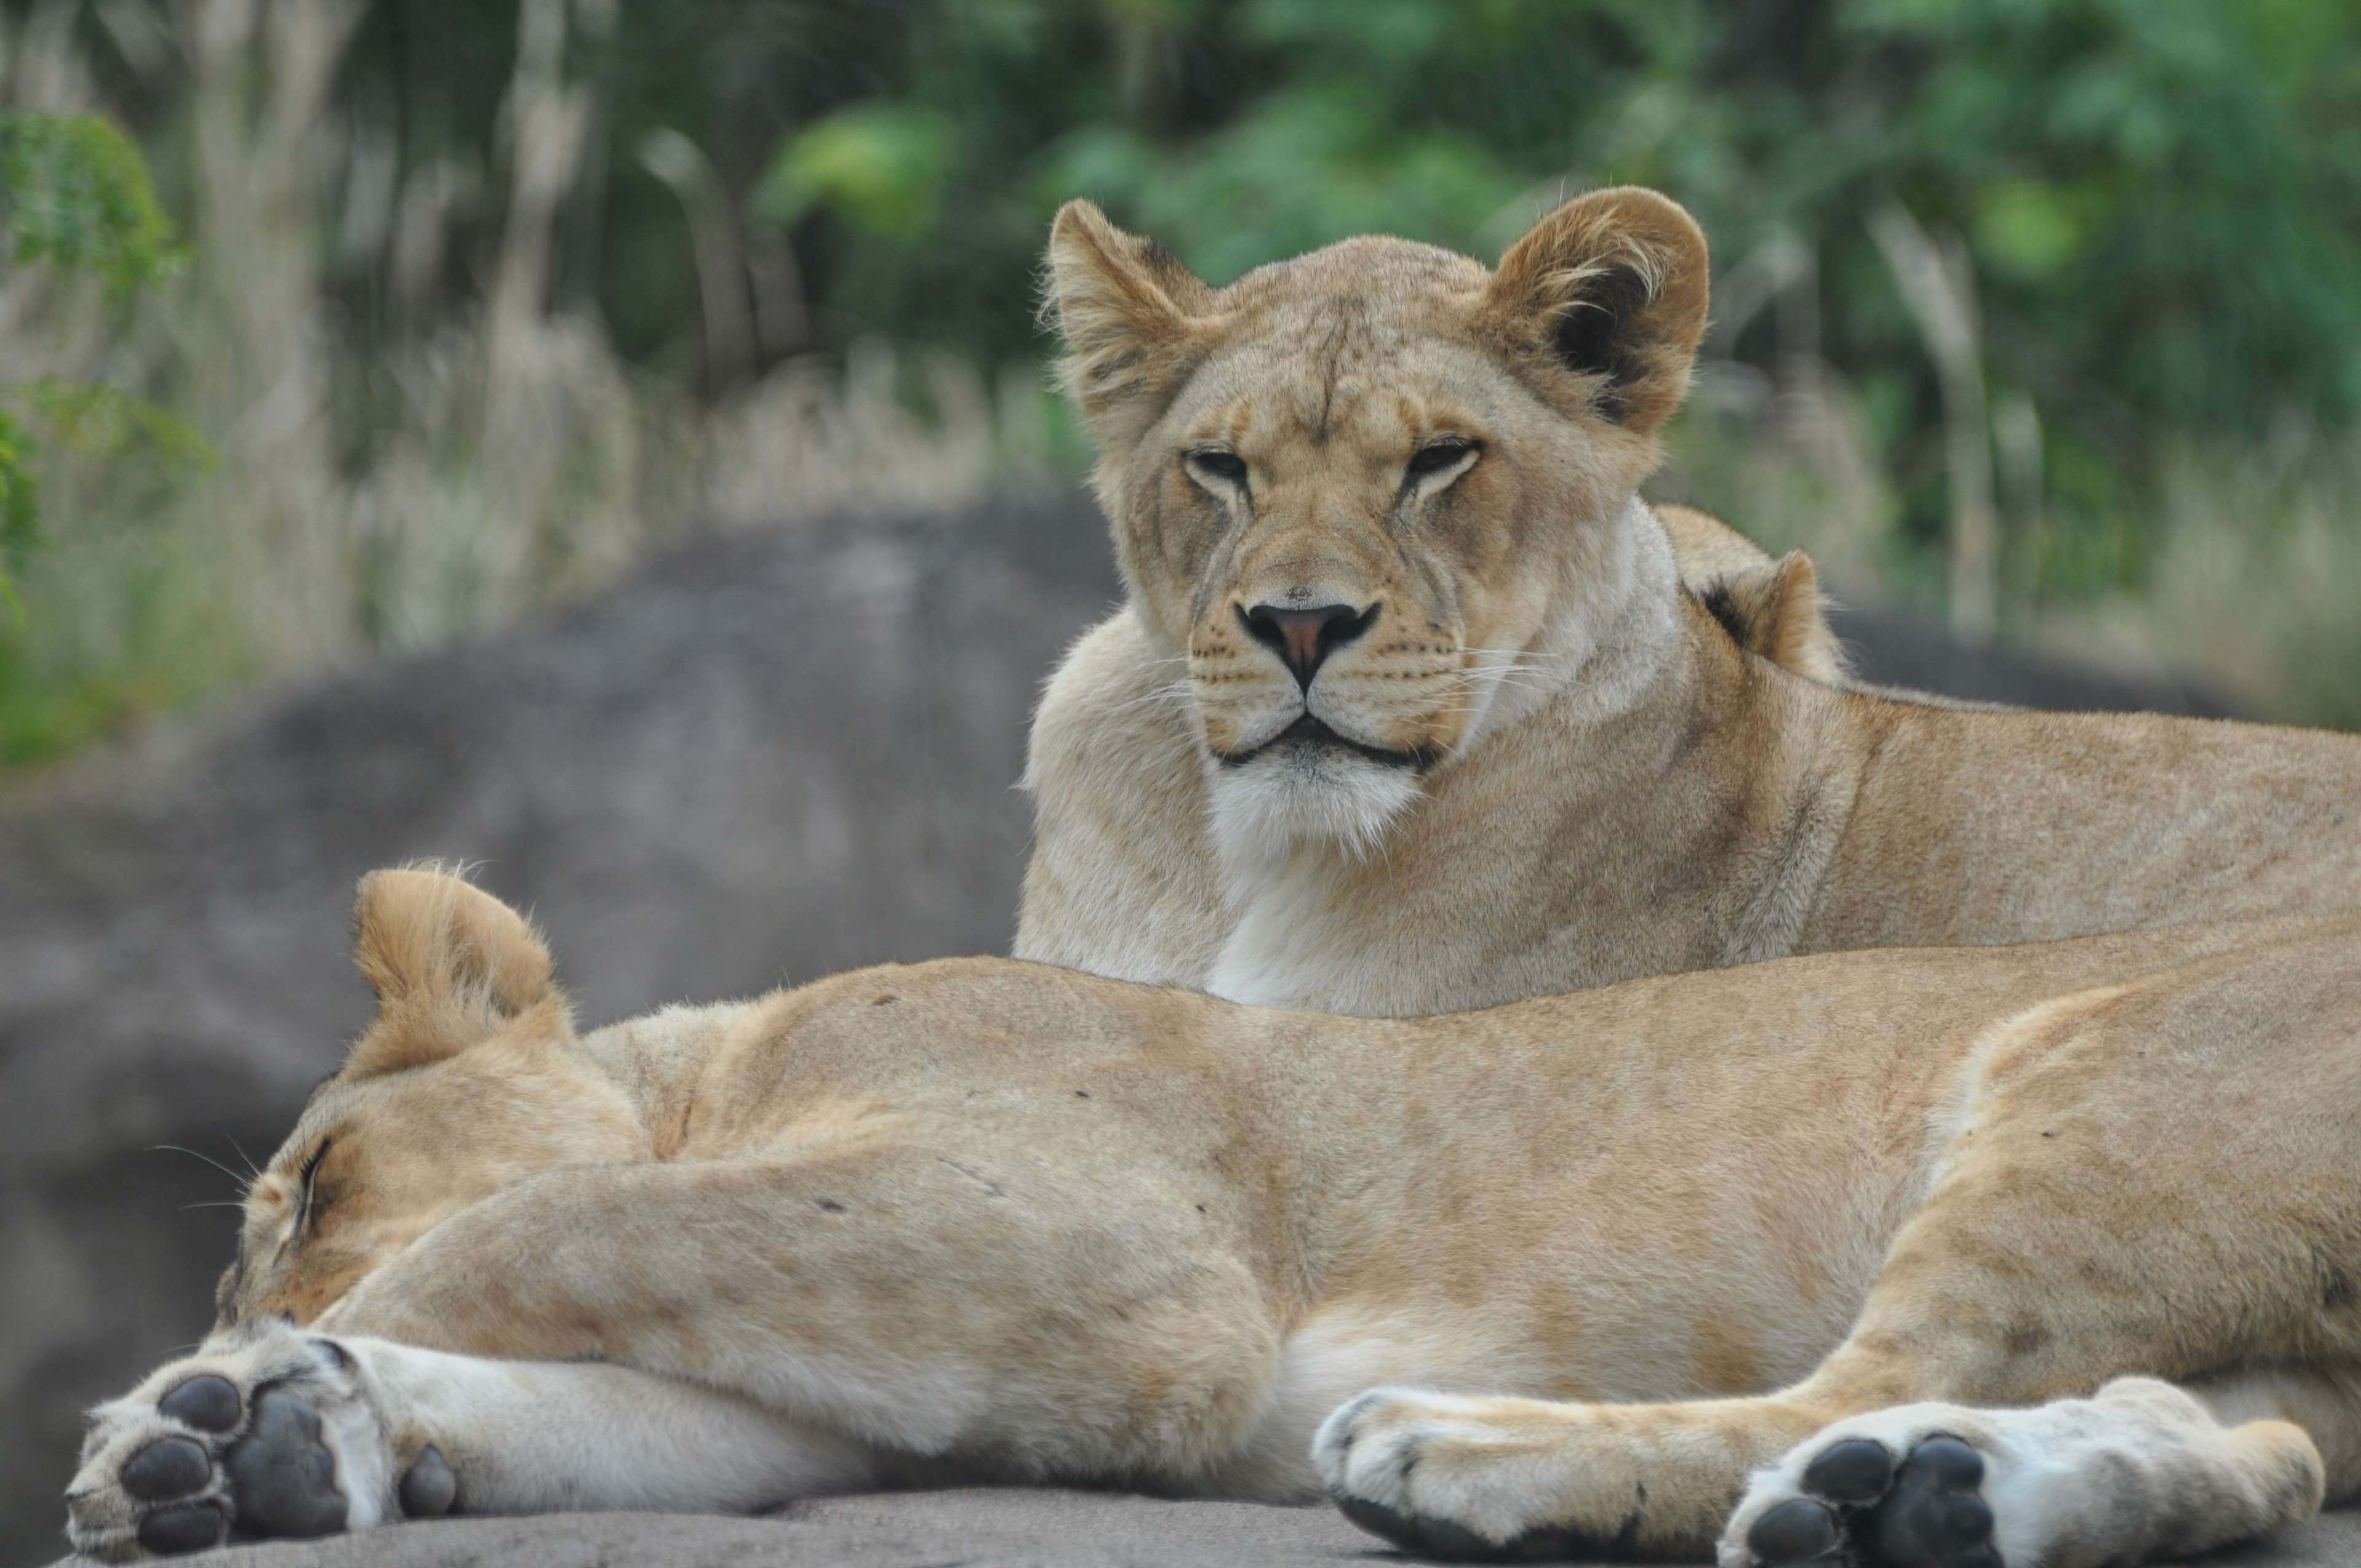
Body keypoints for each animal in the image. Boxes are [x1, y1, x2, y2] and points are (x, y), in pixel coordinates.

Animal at [67, 868, 2361, 1565]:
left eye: (311, 1181)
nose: (248, 1293)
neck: (723, 1067)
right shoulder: (880, 1364)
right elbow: (605, 1403)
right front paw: (246, 1443)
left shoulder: (1099, 1247)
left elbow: (542, 1233)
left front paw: (212, 1385)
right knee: (2230, 1439)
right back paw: (1949, 1499)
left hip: (2081, 1070)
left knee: (1840, 1382)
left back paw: (1466, 1457)